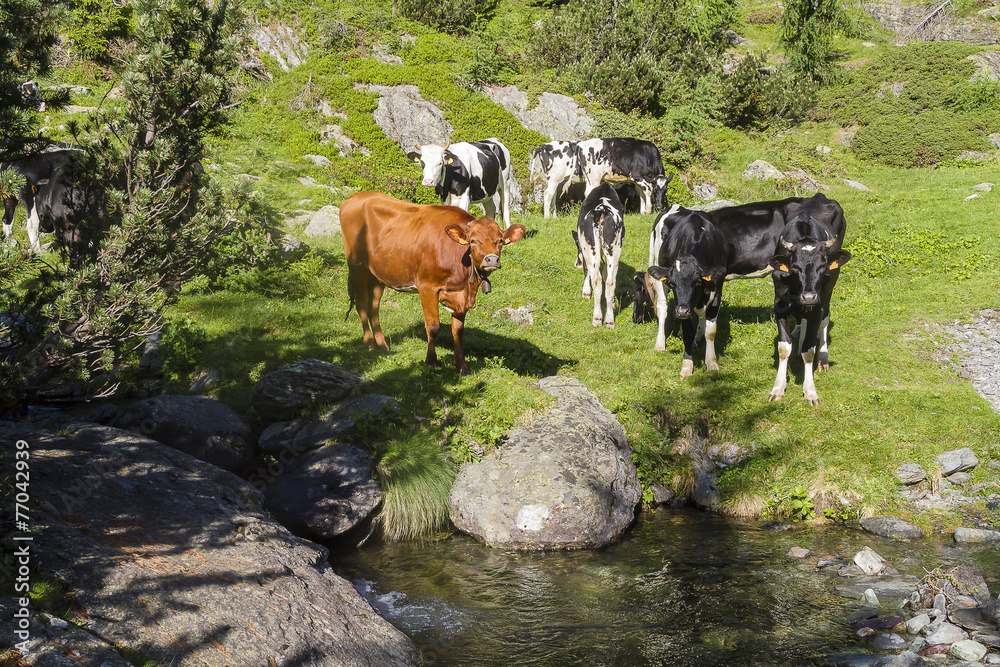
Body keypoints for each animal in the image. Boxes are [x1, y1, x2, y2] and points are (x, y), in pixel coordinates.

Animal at [340, 191, 525, 375]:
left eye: (500, 241)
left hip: (377, 274)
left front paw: (461, 365)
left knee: (374, 306)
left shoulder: (460, 295)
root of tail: (357, 196)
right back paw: (370, 344)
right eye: (473, 241)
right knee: (362, 303)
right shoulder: (427, 287)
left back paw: (382, 345)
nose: (492, 259)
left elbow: (458, 330)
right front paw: (431, 362)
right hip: (357, 266)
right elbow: (433, 327)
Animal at [574, 183, 625, 328]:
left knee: (596, 279)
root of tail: (602, 210)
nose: (576, 264)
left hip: (590, 248)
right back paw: (609, 320)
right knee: (610, 281)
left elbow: (587, 271)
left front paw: (586, 292)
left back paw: (597, 318)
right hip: (614, 249)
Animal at [645, 206, 728, 378]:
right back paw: (660, 343)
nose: (682, 311)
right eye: (672, 283)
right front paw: (687, 365)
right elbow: (687, 333)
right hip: (659, 270)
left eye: (697, 281)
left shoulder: (717, 291)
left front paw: (711, 362)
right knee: (663, 308)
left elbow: (711, 331)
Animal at [766, 193, 850, 405]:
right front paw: (778, 387)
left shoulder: (817, 305)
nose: (809, 296)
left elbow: (809, 350)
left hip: (828, 290)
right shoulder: (780, 305)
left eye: (822, 266)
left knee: (825, 317)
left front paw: (810, 390)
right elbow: (783, 348)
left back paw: (823, 357)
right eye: (795, 267)